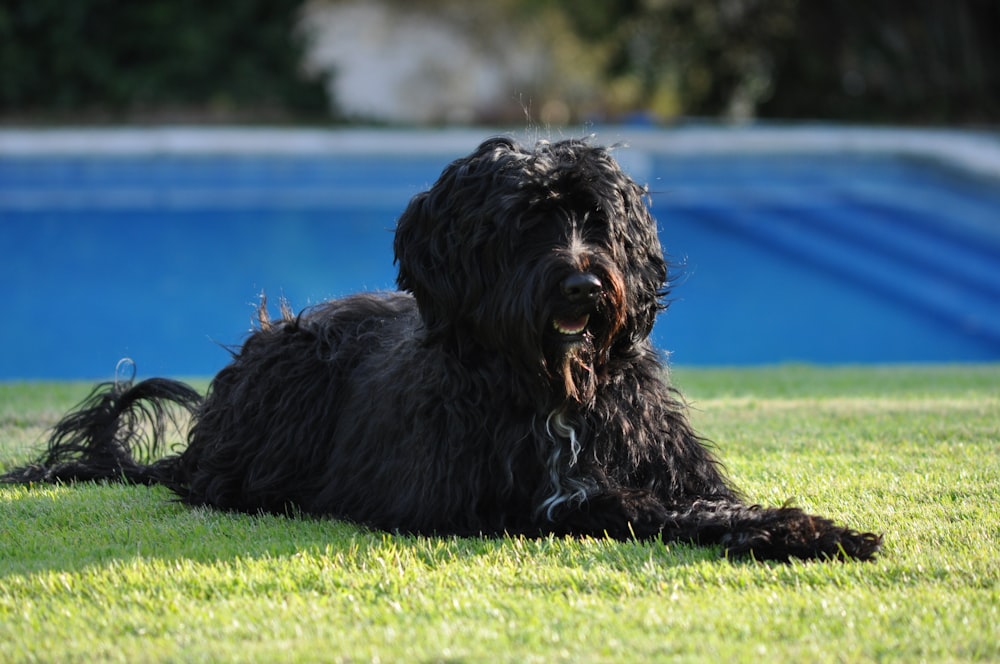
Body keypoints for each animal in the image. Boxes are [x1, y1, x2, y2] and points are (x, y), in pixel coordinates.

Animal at [7, 137, 884, 564]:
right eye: (525, 222)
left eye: (595, 220)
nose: (583, 286)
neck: (553, 388)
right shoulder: (513, 498)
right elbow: (629, 506)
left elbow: (711, 501)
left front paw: (807, 527)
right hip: (293, 371)